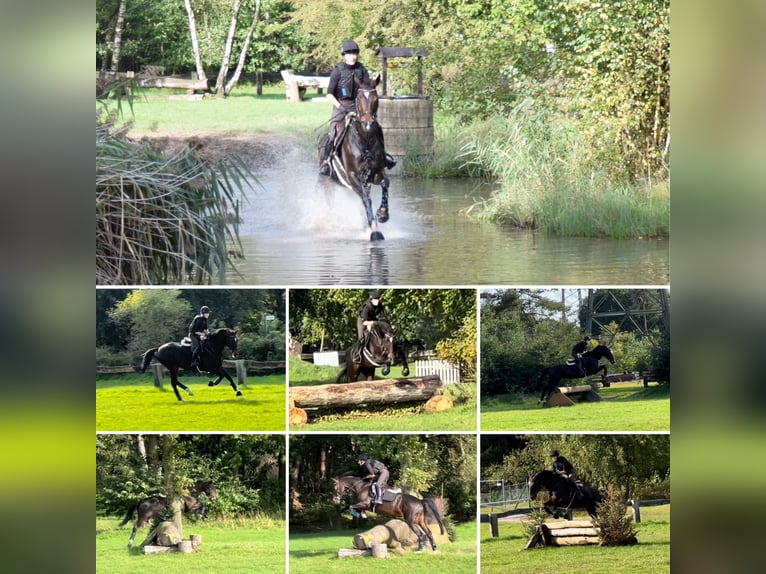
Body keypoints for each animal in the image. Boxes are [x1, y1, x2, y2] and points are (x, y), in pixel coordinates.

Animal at [318, 76, 390, 241]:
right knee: (328, 201)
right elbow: (366, 199)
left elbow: (385, 183)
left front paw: (383, 214)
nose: (368, 123)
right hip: (326, 181)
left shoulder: (376, 173)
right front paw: (375, 231)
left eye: (376, 98)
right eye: (358, 98)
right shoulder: (353, 177)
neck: (365, 140)